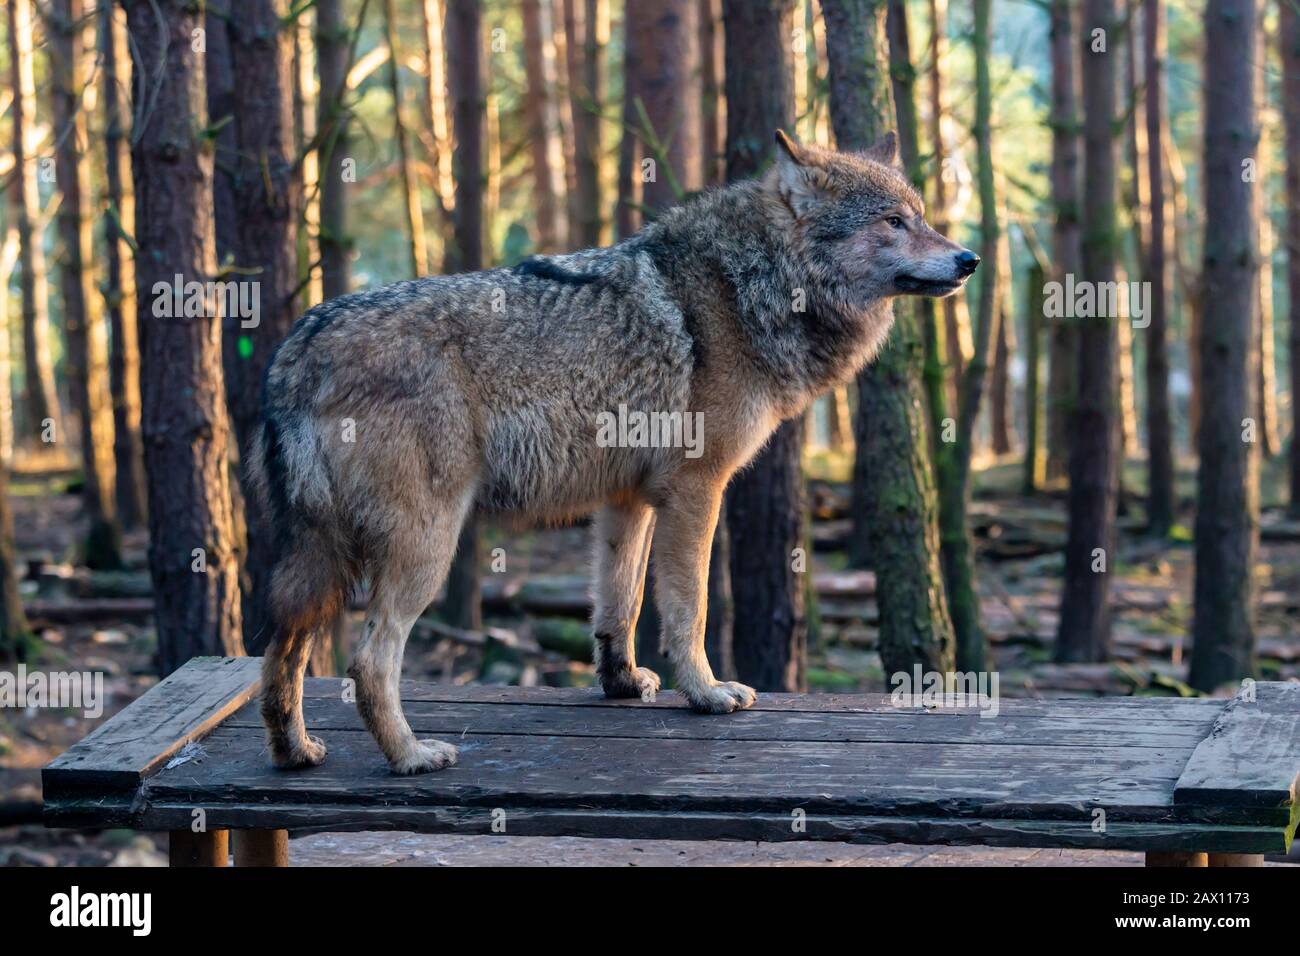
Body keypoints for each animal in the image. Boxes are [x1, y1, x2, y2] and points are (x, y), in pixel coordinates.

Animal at [250, 127, 977, 775]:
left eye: (921, 217)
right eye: (894, 222)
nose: (969, 258)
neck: (753, 284)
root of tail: (297, 348)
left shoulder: (626, 499)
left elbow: (619, 606)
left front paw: (621, 683)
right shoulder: (697, 490)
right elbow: (688, 609)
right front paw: (706, 693)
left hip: (322, 560)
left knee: (281, 650)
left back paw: (294, 752)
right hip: (422, 549)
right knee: (370, 661)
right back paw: (410, 757)